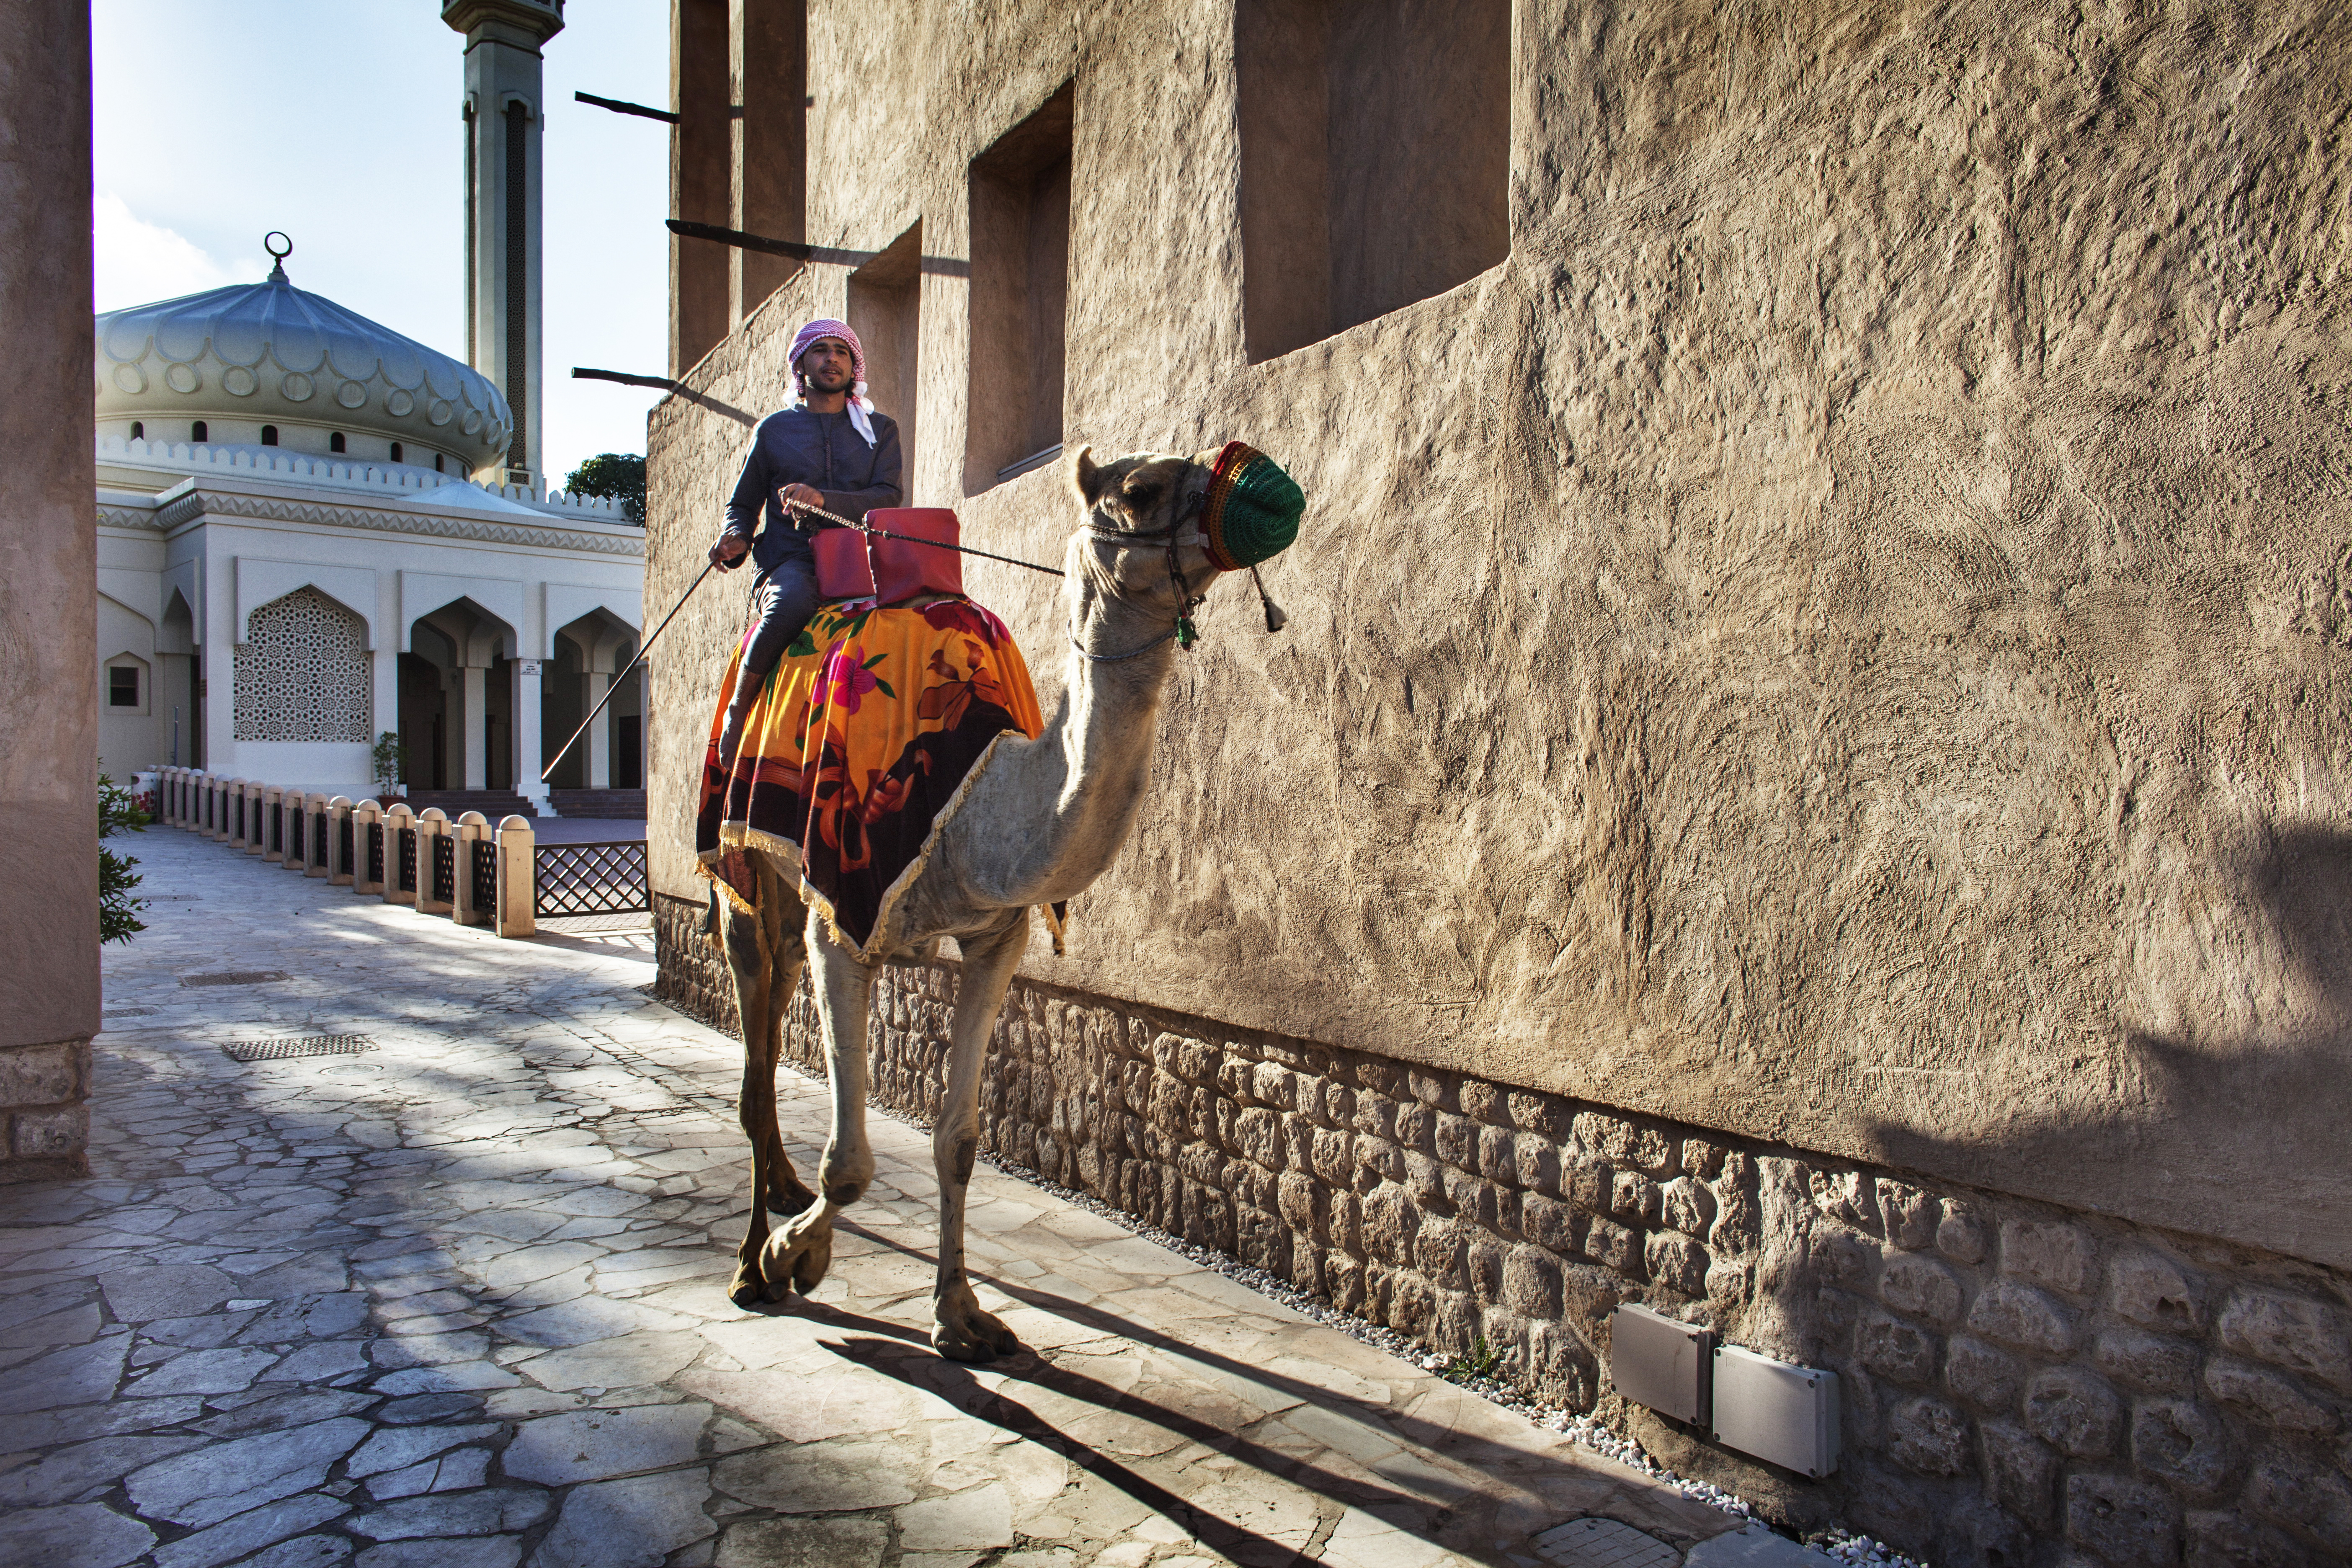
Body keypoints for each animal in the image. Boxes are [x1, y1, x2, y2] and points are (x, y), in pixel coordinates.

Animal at [710, 442, 1261, 1363]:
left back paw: (781, 1195)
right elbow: (850, 1162)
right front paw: (793, 1258)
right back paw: (752, 1260)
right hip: (744, 868)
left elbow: (960, 1140)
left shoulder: (996, 937)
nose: (1244, 489)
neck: (976, 805)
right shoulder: (843, 919)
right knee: (755, 1054)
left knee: (774, 1017)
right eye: (1142, 488)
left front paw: (962, 1315)